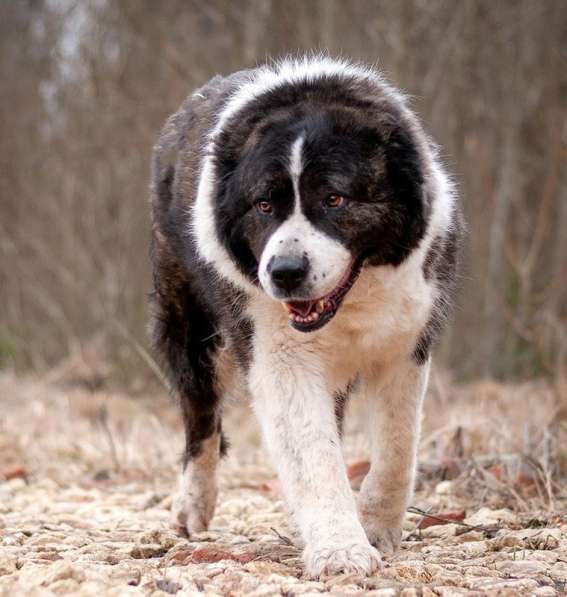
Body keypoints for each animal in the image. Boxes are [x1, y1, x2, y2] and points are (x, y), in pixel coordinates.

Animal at [149, 57, 464, 576]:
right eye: (263, 205)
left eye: (334, 199)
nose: (285, 271)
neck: (351, 301)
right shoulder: (280, 356)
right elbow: (313, 453)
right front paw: (340, 550)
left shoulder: (406, 342)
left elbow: (399, 445)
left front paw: (376, 525)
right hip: (192, 331)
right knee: (202, 419)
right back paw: (194, 505)